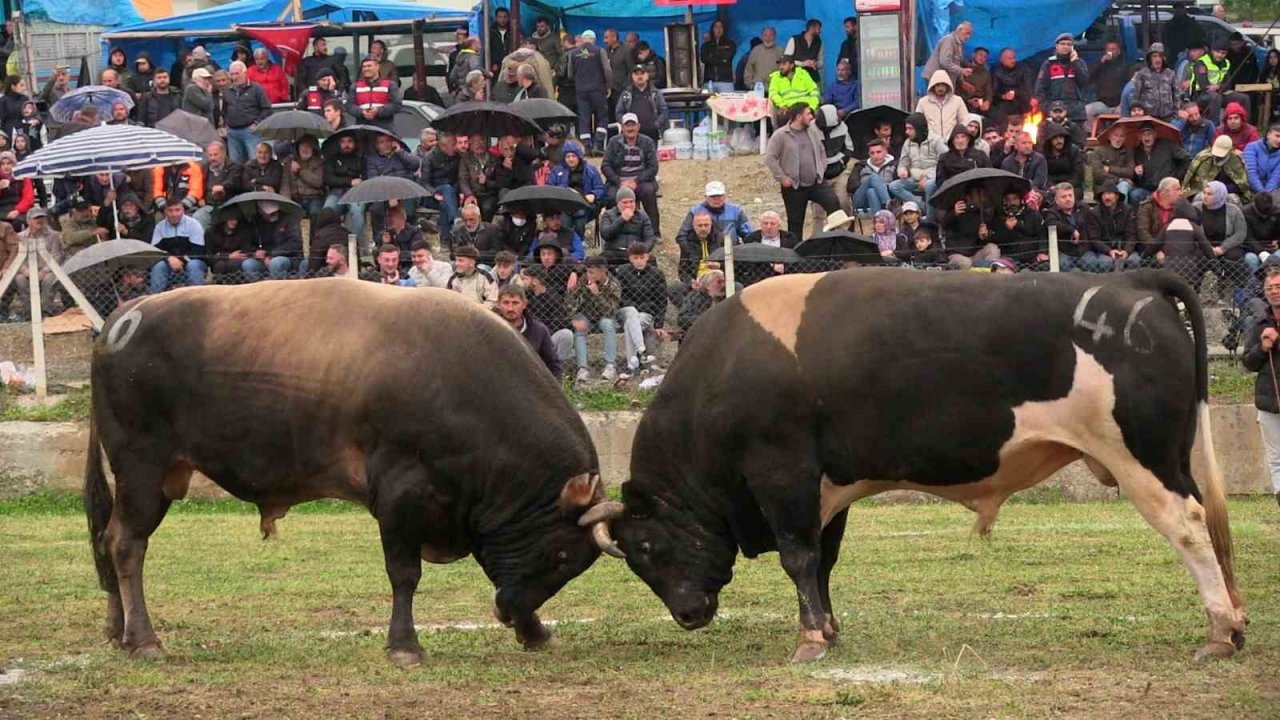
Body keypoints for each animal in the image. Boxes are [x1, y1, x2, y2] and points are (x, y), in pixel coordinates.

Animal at [82, 278, 622, 666]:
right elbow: (404, 574)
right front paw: (405, 646)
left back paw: (118, 629)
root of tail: (121, 318)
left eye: (570, 563)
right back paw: (145, 639)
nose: (509, 613)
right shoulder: (400, 496)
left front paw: (537, 633)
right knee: (126, 544)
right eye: (559, 554)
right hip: (142, 468)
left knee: (108, 539)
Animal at [593, 267, 1244, 661]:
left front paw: (810, 640)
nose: (687, 614)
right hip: (1170, 457)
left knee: (1189, 528)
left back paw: (1221, 630)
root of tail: (1130, 280)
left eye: (645, 547)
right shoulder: (828, 486)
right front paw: (828, 629)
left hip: (1143, 460)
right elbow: (822, 561)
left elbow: (798, 557)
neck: (723, 369)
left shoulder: (782, 473)